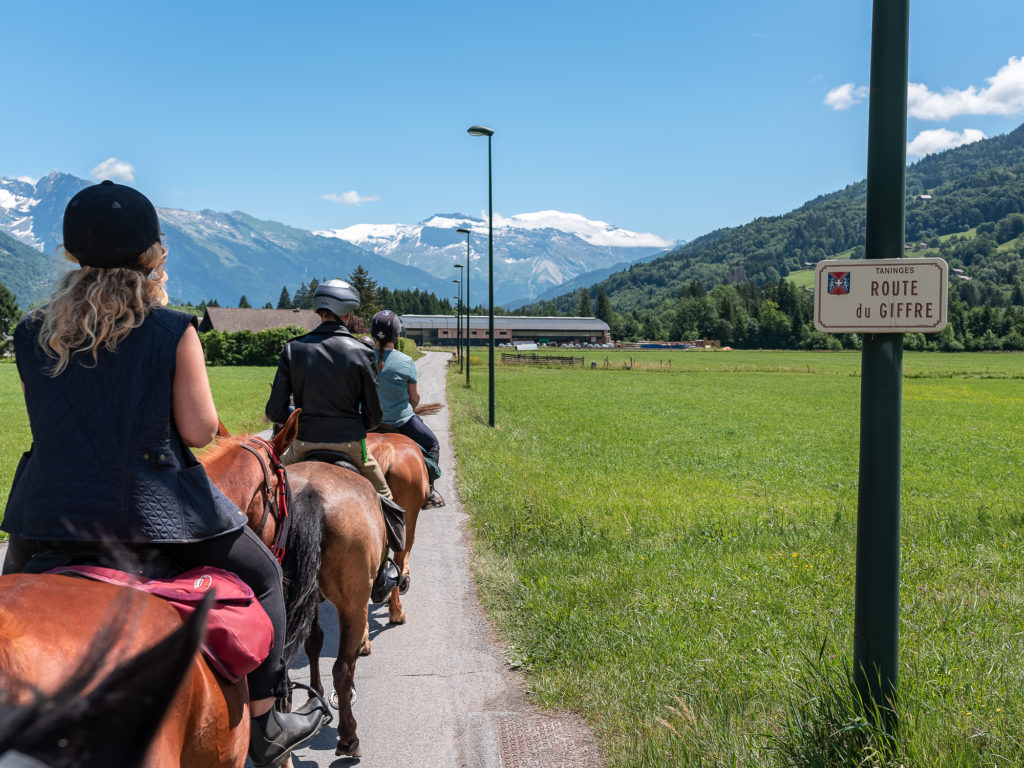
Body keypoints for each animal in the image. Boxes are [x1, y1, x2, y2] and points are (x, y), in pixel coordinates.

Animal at [201, 411, 385, 761]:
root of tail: (313, 491)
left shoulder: (305, 597)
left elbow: (312, 642)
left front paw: (312, 698)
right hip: (352, 602)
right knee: (343, 668)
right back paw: (347, 737)